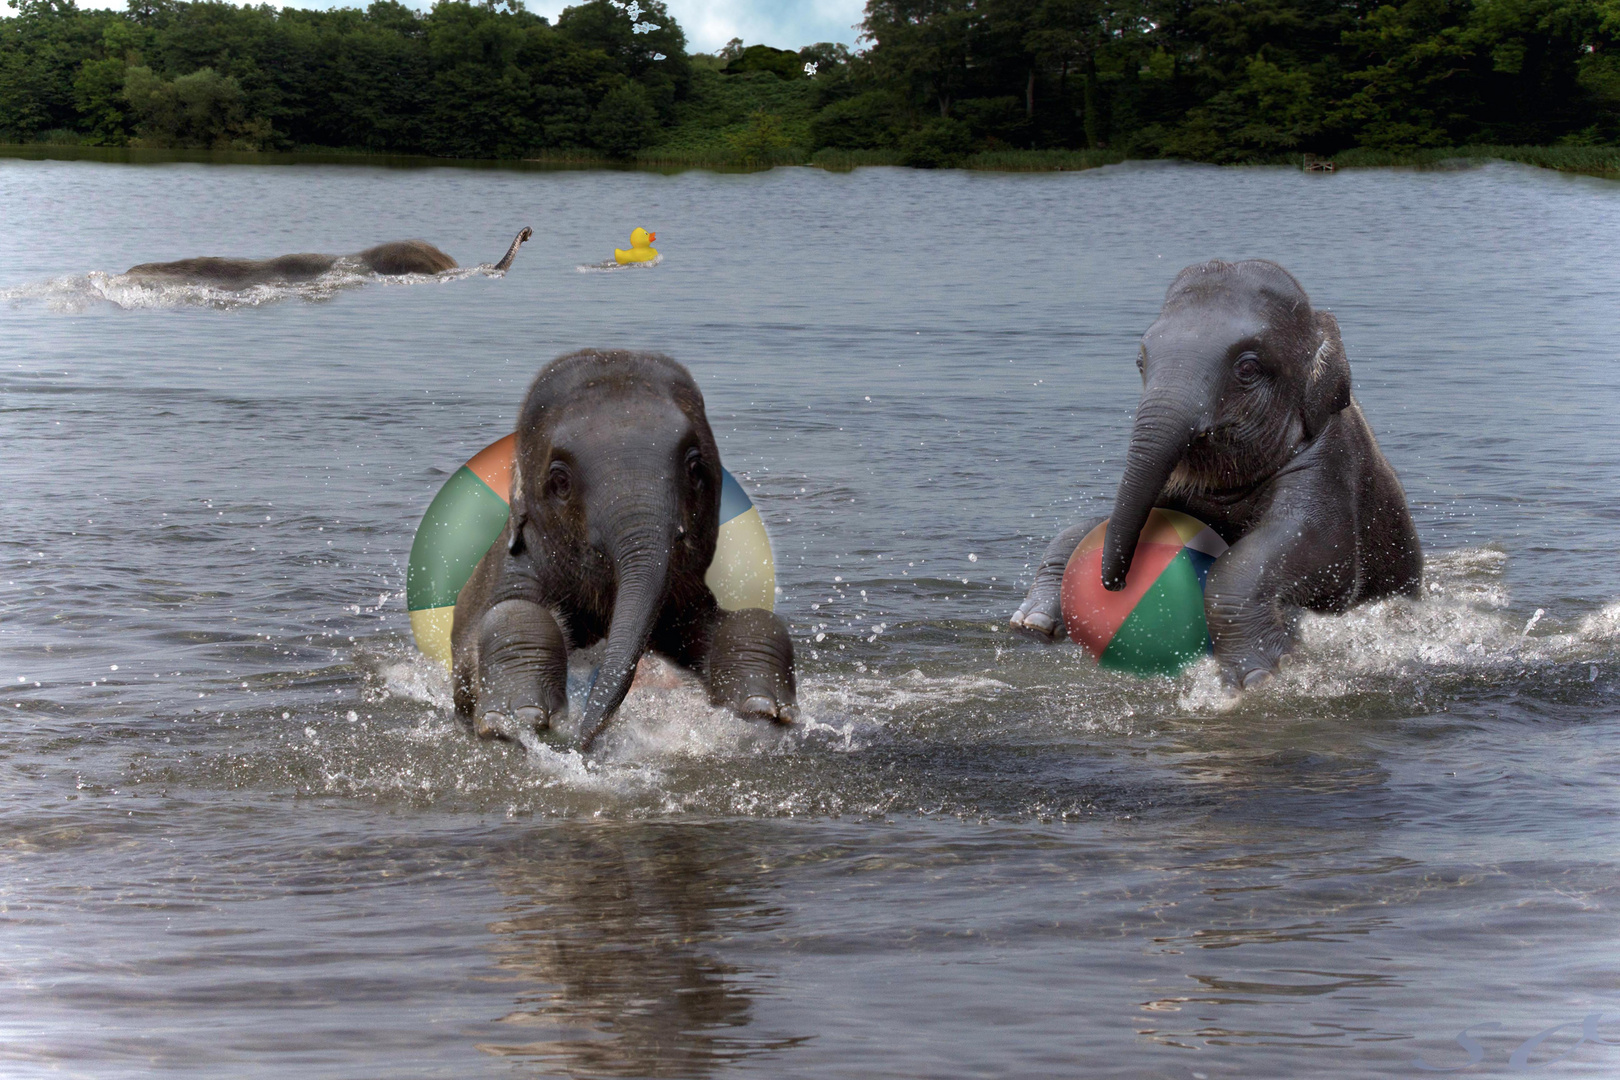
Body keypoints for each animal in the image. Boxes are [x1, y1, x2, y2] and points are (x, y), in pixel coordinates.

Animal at [450, 351, 797, 748]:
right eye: (560, 480)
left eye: (695, 467)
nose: (582, 741)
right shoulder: (513, 564)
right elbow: (506, 616)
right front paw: (518, 718)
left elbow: (748, 620)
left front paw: (761, 706)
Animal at [1010, 257, 1419, 689]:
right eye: (1140, 363)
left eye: (1248, 367)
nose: (1115, 584)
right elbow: (1103, 521)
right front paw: (1032, 623)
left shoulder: (1330, 459)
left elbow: (1321, 550)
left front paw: (1259, 677)